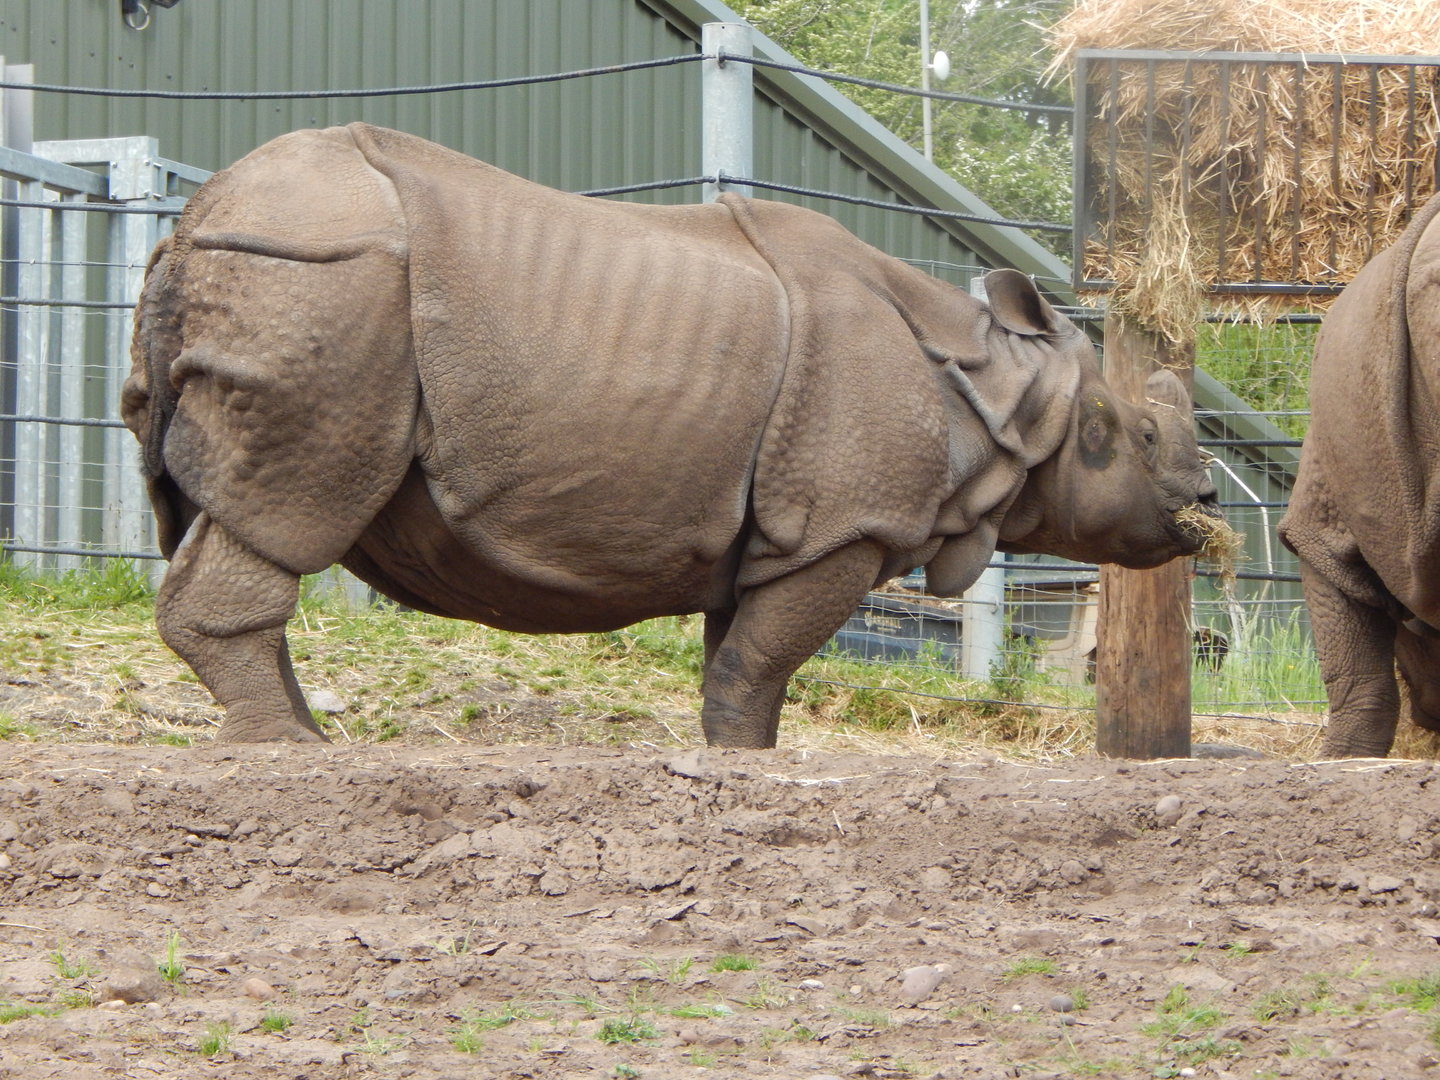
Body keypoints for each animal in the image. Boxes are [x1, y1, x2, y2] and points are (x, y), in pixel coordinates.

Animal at [123, 123, 1219, 747]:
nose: (1208, 503)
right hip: (323, 280)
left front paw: (736, 754)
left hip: (281, 275)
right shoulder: (842, 525)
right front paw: (744, 758)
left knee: (235, 514)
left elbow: (740, 659)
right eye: (1129, 434)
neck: (1002, 389)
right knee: (291, 508)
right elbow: (767, 659)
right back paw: (285, 751)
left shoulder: (777, 530)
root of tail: (198, 212)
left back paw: (297, 734)